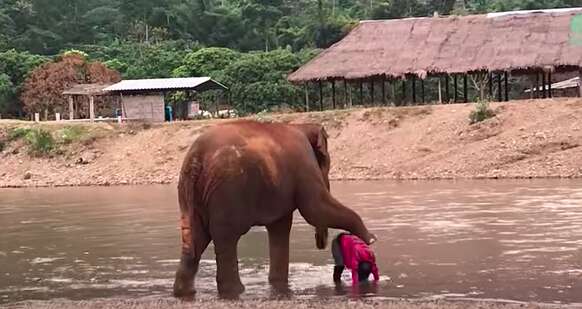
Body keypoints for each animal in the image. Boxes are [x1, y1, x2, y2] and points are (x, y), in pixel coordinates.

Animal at [172, 119, 378, 298]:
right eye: (326, 162)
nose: (321, 243)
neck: (301, 125)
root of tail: (196, 158)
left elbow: (280, 226)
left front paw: (278, 284)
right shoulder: (303, 162)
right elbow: (315, 209)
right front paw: (371, 239)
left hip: (190, 193)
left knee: (194, 238)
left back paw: (184, 292)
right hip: (227, 191)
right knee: (226, 238)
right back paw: (235, 290)